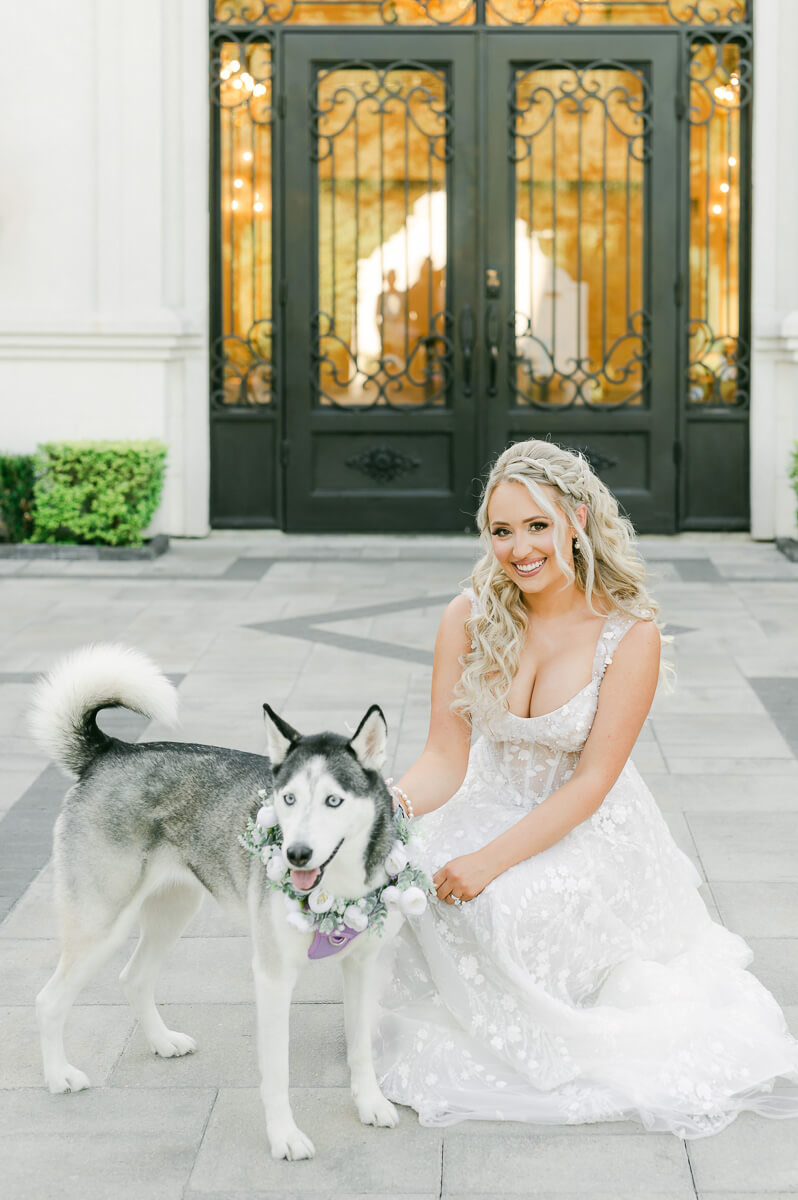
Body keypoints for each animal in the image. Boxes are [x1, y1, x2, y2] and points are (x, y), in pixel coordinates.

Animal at [30, 648, 405, 1161]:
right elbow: (277, 1070)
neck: (334, 887)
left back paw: (162, 1041)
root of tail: (112, 752)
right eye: (288, 799)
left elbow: (362, 1047)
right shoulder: (273, 976)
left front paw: (370, 1104)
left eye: (333, 801)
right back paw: (58, 1075)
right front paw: (284, 1136)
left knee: (133, 977)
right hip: (100, 921)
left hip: (174, 909)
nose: (296, 854)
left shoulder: (361, 966)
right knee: (49, 999)